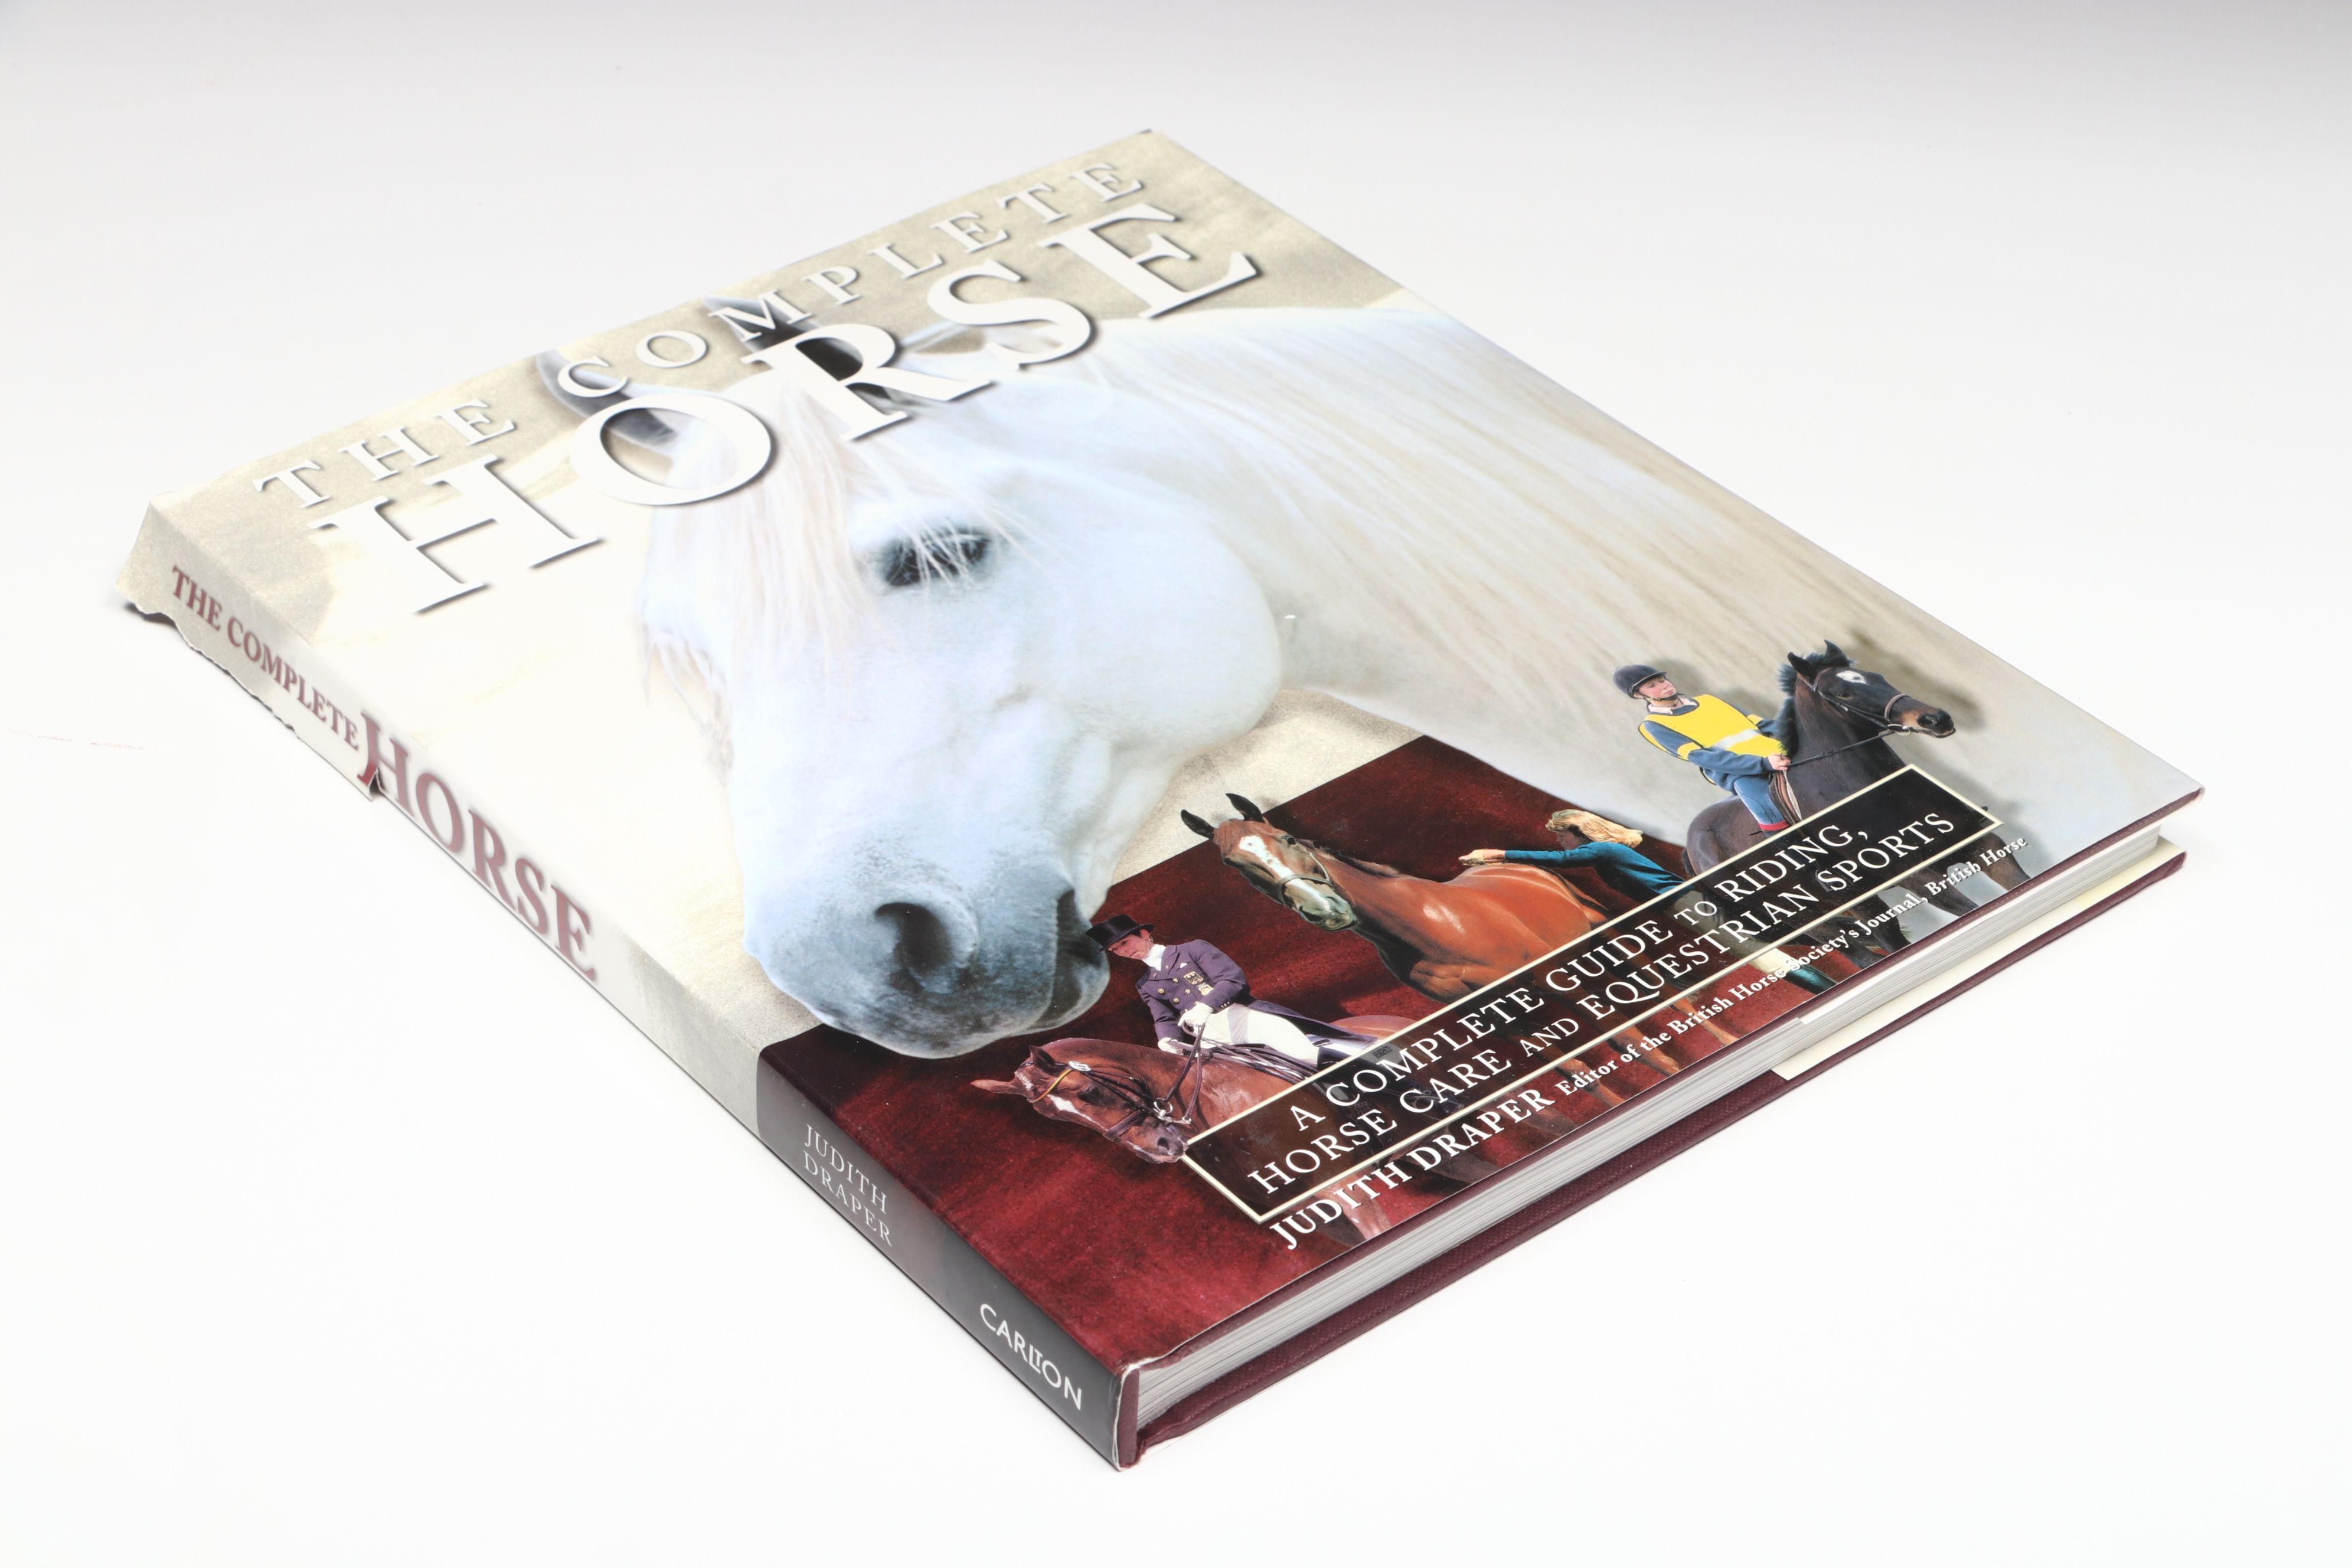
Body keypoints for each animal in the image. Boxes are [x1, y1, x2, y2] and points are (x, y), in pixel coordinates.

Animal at [1682, 644, 2030, 946]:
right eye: (1842, 693)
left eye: (1879, 677)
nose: (1934, 719)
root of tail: (1692, 848)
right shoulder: (1919, 877)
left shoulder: (1983, 840)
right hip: (1814, 919)